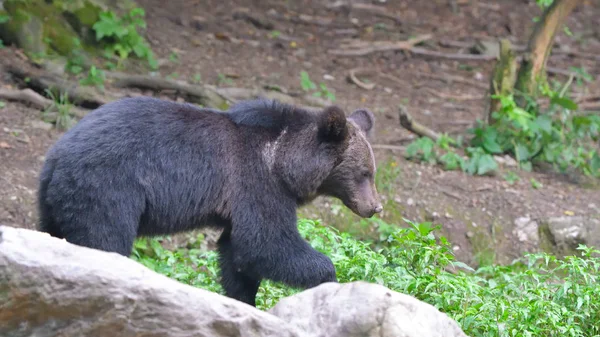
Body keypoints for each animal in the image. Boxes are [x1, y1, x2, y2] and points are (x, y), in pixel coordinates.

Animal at [37, 96, 382, 306]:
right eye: (364, 173)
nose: (375, 207)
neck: (283, 164)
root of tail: (55, 158)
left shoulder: (241, 203)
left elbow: (238, 256)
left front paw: (243, 299)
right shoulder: (256, 183)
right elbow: (267, 242)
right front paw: (329, 277)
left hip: (58, 203)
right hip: (108, 188)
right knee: (104, 239)